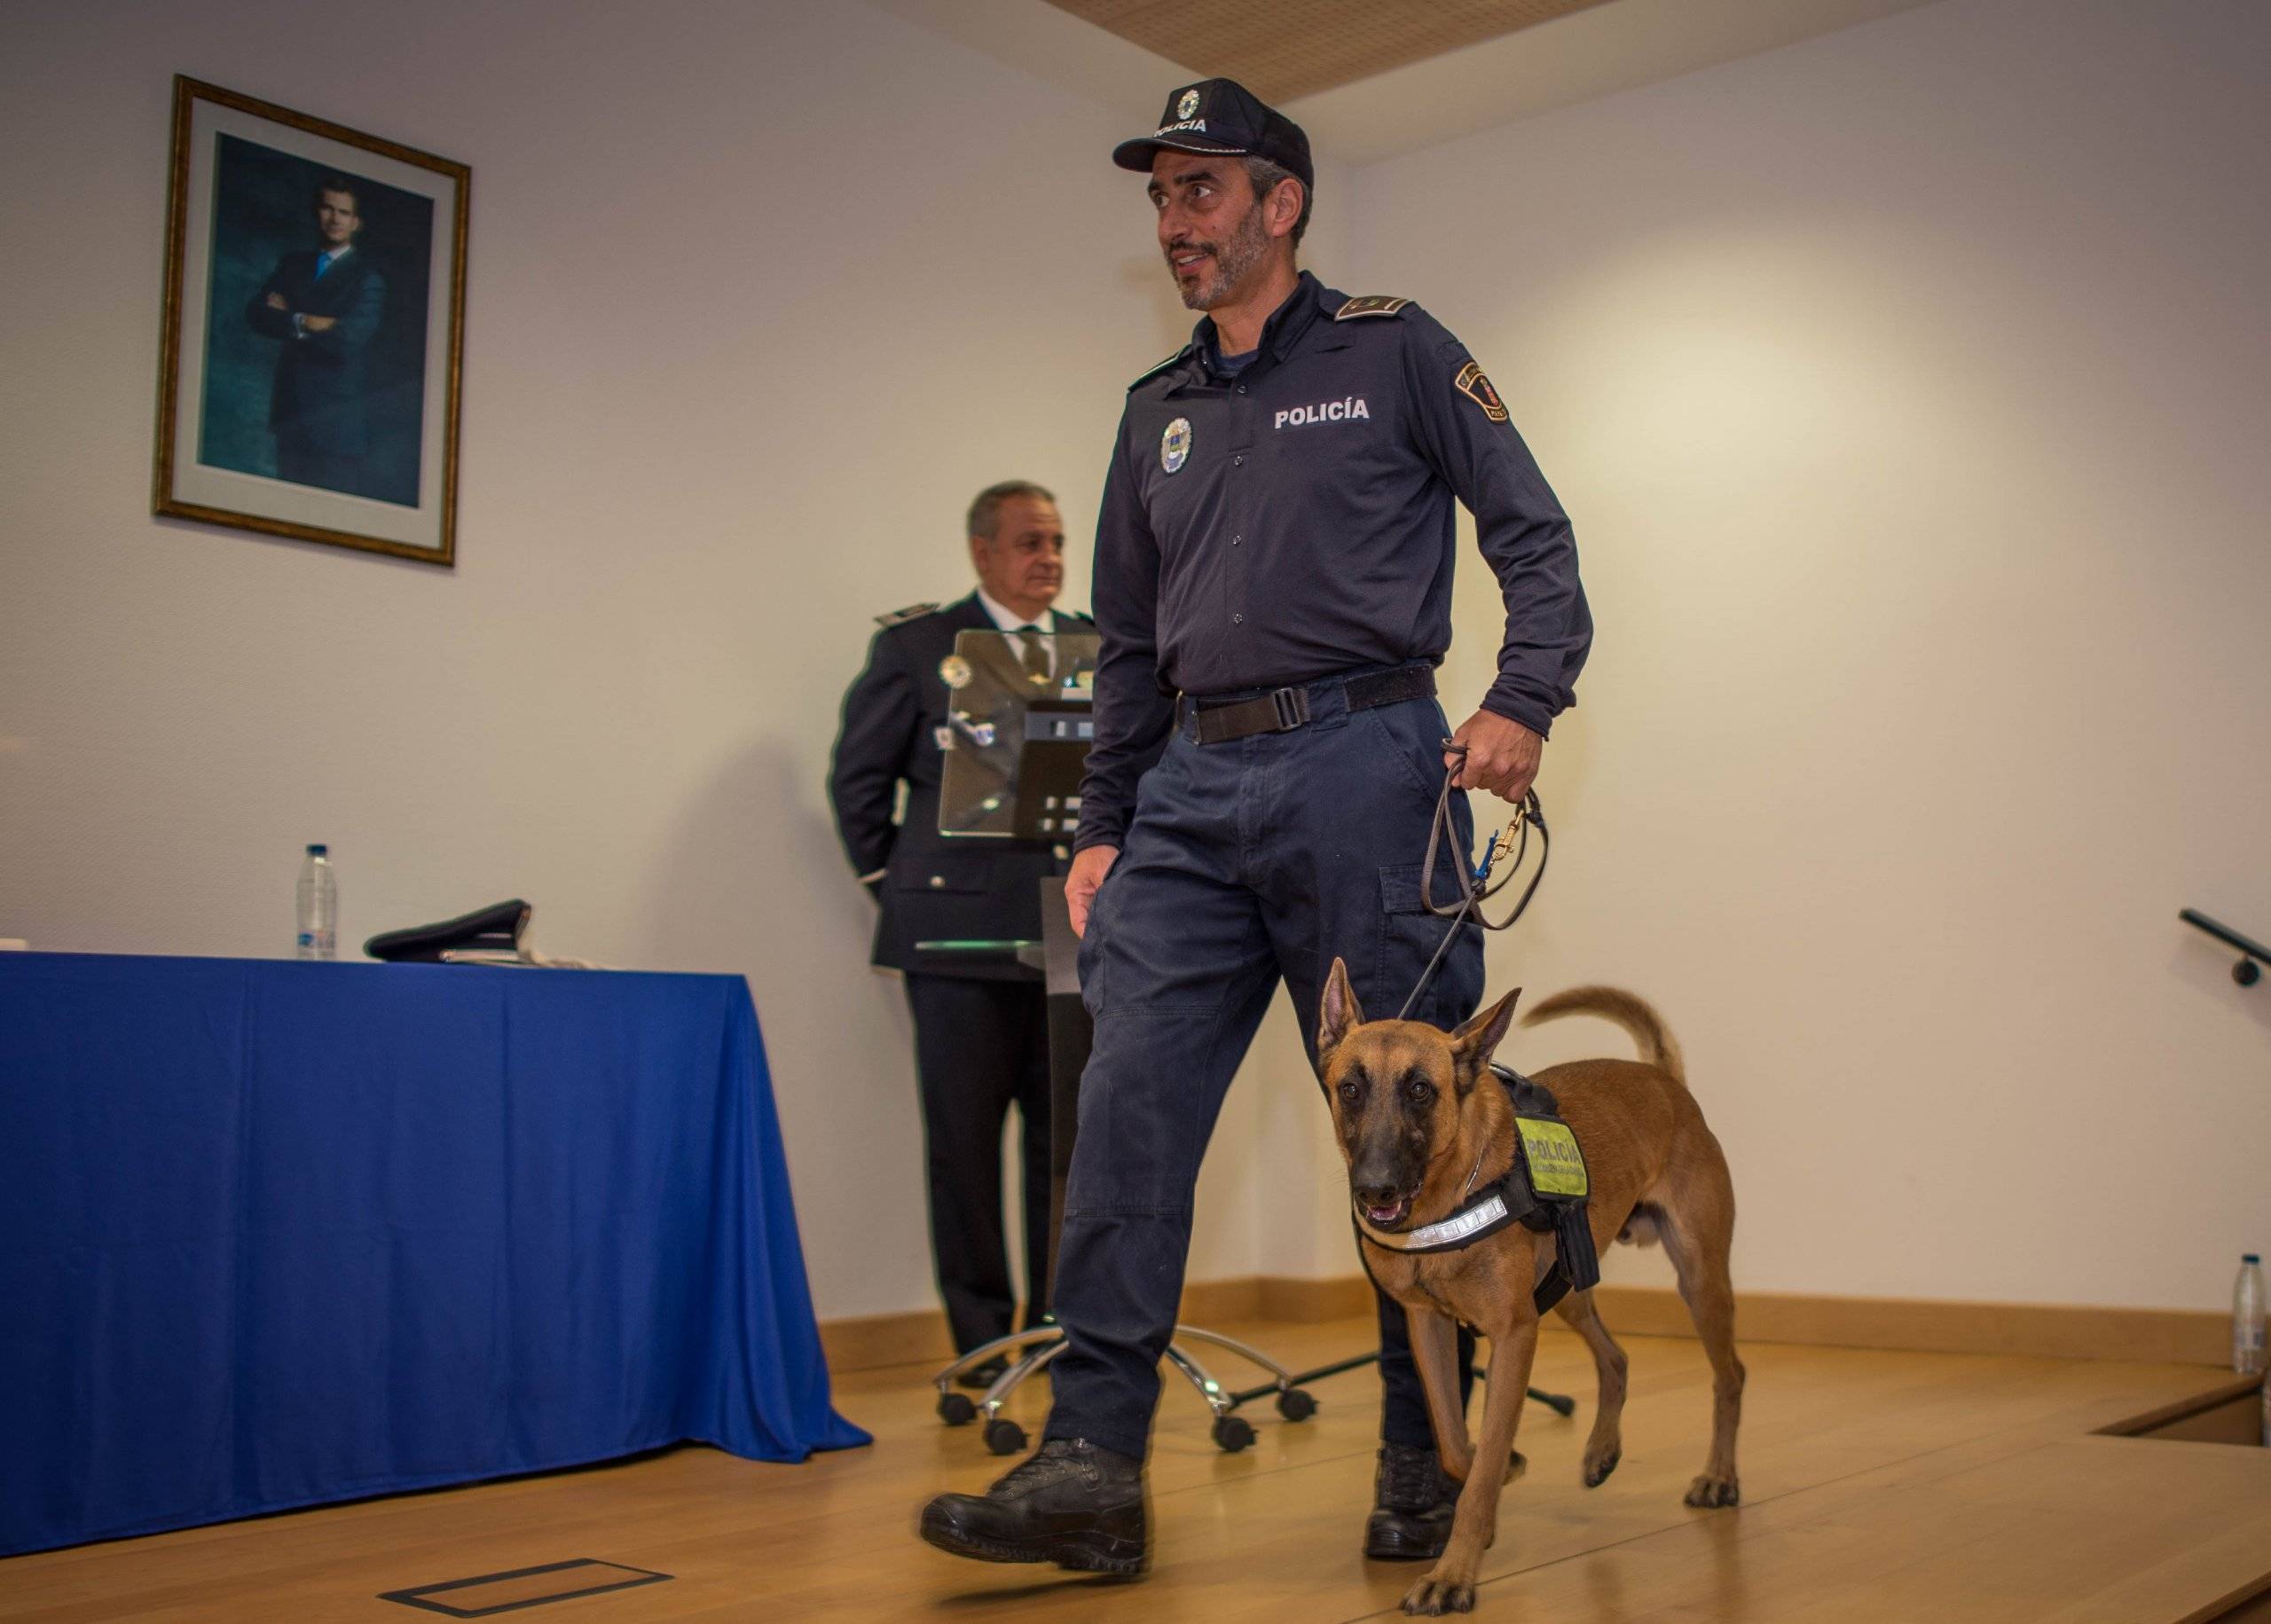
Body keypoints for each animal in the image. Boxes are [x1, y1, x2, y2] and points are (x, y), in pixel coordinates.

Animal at [1316, 967, 1734, 1617]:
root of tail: (1663, 1078)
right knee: (1616, 1357)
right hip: (1568, 1287)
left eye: (1421, 1090)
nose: (1375, 1189)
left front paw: (1454, 1573)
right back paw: (1602, 1449)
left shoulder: (1514, 1337)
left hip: (1699, 1280)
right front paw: (1493, 1487)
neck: (1449, 1195)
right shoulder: (1428, 1326)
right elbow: (1458, 1444)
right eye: (1351, 1088)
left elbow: (1483, 1460)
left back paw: (1719, 1476)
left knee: (1730, 1375)